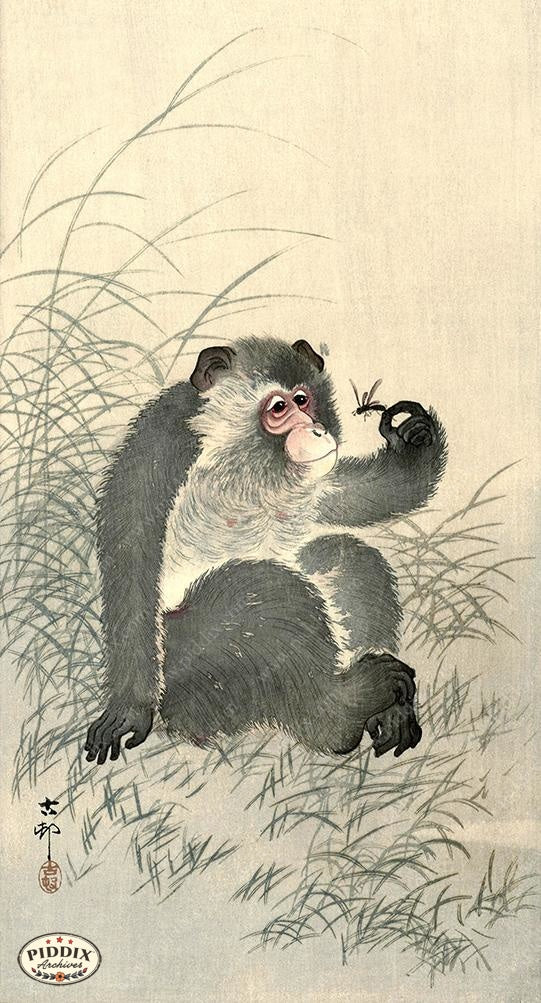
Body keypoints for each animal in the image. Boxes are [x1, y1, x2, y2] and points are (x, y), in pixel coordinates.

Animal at [85, 336, 447, 766]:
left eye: (303, 399)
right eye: (279, 408)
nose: (317, 431)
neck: (241, 459)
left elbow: (347, 497)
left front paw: (413, 440)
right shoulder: (161, 447)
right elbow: (132, 568)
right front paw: (129, 710)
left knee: (344, 560)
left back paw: (384, 711)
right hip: (187, 669)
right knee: (264, 593)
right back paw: (339, 715)